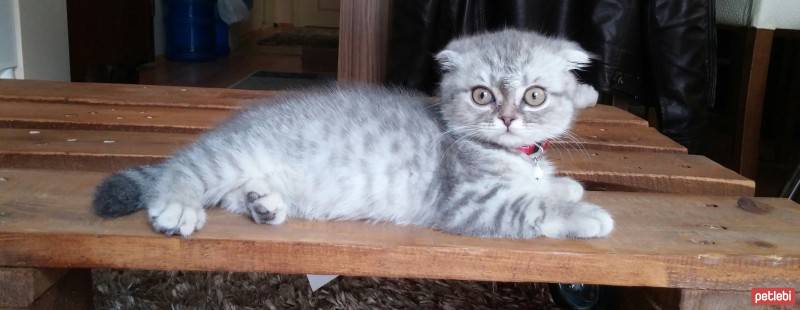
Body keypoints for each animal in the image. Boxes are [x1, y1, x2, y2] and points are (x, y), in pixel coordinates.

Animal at [92, 29, 612, 239]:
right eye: (482, 95)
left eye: (534, 96)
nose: (507, 118)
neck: (507, 152)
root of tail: (235, 123)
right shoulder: (468, 203)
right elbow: (531, 208)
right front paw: (585, 214)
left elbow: (539, 185)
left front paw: (561, 184)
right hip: (224, 158)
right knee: (182, 170)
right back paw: (177, 206)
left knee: (235, 195)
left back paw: (264, 204)